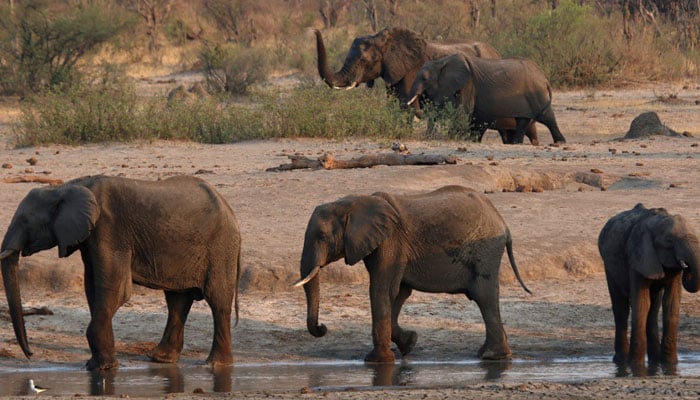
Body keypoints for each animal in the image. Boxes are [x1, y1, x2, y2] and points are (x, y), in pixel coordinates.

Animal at [0, 177, 242, 370]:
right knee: (177, 300)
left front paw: (102, 368)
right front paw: (96, 364)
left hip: (221, 247)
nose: (30, 354)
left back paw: (216, 364)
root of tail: (229, 209)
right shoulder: (91, 237)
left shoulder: (109, 230)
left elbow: (115, 289)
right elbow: (92, 288)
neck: (67, 187)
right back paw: (160, 359)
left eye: (25, 221)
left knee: (217, 300)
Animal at [292, 184, 528, 362]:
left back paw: (491, 356)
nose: (323, 327)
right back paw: (489, 354)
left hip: (485, 250)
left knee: (483, 295)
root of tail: (503, 223)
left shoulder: (391, 243)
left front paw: (377, 361)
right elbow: (399, 293)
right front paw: (410, 343)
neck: (354, 203)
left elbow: (381, 290)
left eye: (322, 236)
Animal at [312, 27, 536, 144]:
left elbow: (405, 106)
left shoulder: (410, 70)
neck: (384, 39)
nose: (315, 30)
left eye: (365, 61)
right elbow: (394, 105)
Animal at [408, 53, 568, 145]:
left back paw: (560, 142)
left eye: (424, 78)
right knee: (522, 120)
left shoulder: (468, 84)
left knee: (547, 118)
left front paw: (453, 138)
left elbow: (463, 111)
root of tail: (544, 78)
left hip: (537, 94)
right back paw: (516, 143)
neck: (440, 62)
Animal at [596, 205, 700, 370]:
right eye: (669, 241)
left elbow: (671, 304)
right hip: (608, 265)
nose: (686, 266)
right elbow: (641, 303)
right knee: (621, 309)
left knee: (653, 308)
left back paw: (655, 361)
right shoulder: (638, 257)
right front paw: (636, 367)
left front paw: (670, 365)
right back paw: (621, 361)